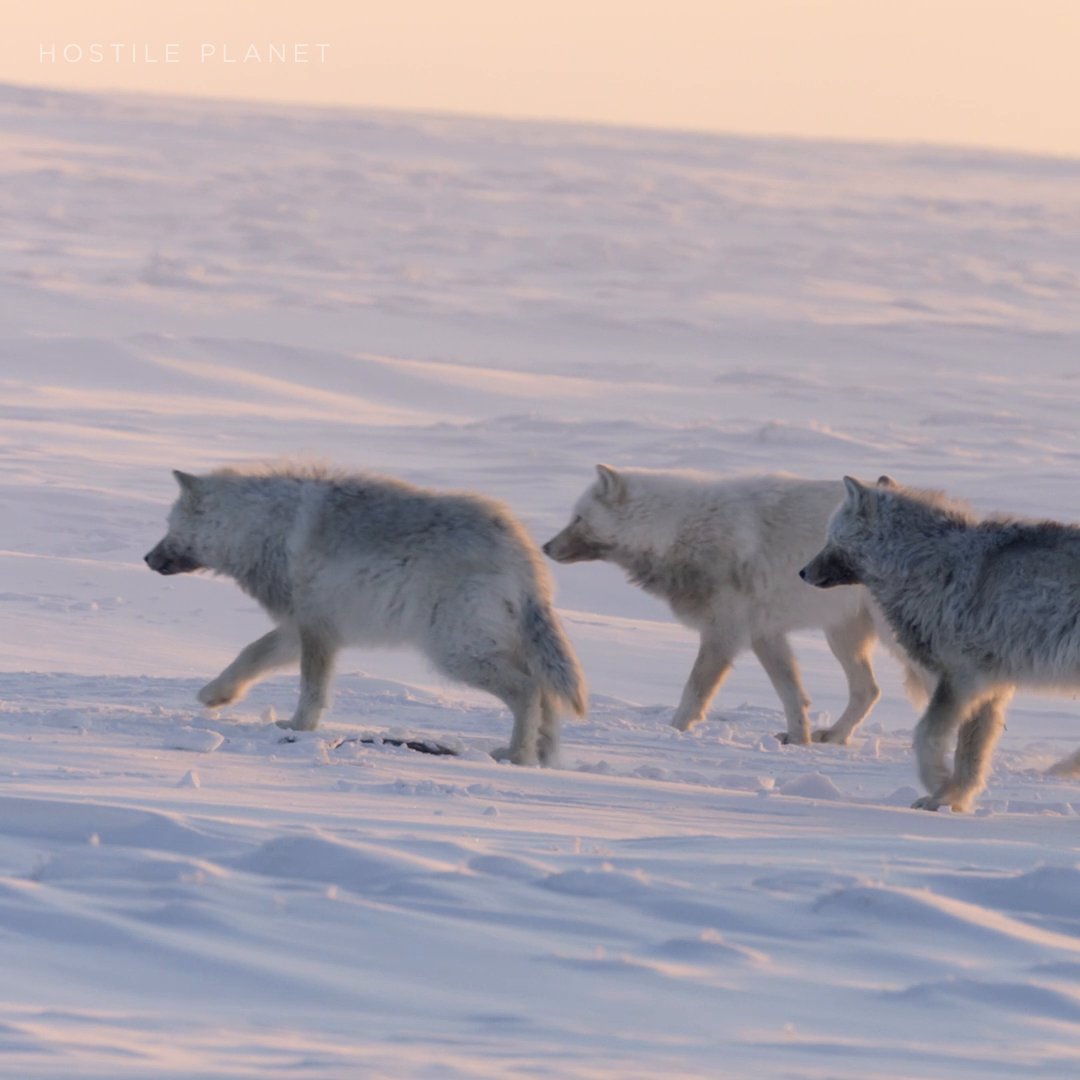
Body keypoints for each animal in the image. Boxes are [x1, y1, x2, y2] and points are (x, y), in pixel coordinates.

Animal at [145, 465, 586, 766]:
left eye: (169, 525)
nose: (146, 558)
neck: (260, 528)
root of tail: (524, 554)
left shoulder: (316, 633)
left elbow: (311, 691)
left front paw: (299, 728)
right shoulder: (296, 629)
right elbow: (247, 656)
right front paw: (215, 694)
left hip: (457, 657)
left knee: (528, 691)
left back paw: (516, 755)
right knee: (546, 695)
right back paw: (542, 757)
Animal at [544, 466, 927, 745]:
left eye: (578, 519)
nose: (545, 547)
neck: (677, 531)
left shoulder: (723, 636)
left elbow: (694, 694)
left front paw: (674, 732)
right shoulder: (765, 636)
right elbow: (792, 696)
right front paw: (799, 740)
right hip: (842, 637)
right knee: (868, 691)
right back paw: (833, 736)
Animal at [800, 474, 1080, 811]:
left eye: (831, 539)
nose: (802, 572)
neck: (925, 565)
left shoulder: (962, 681)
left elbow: (926, 736)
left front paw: (939, 785)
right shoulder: (990, 689)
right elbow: (970, 756)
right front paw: (954, 798)